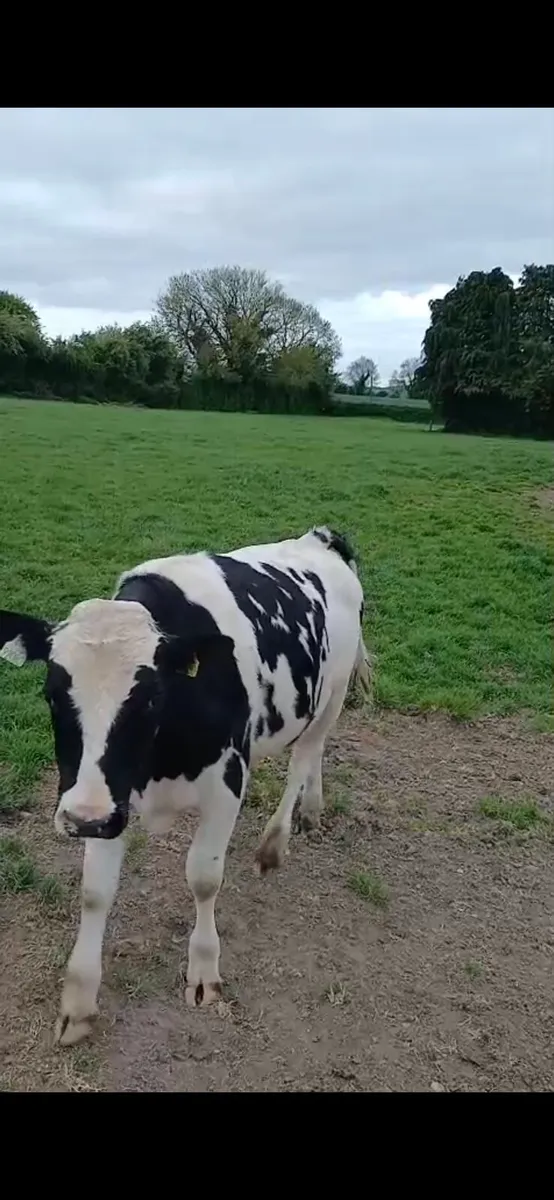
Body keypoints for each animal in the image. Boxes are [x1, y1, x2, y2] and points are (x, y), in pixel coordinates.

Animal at [0, 525, 371, 1046]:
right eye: (51, 693)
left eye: (150, 697)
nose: (82, 819)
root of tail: (318, 537)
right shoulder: (111, 798)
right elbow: (95, 891)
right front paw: (78, 1003)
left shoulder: (226, 784)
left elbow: (203, 877)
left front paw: (204, 971)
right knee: (313, 758)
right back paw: (313, 811)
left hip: (331, 695)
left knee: (304, 758)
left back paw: (275, 844)